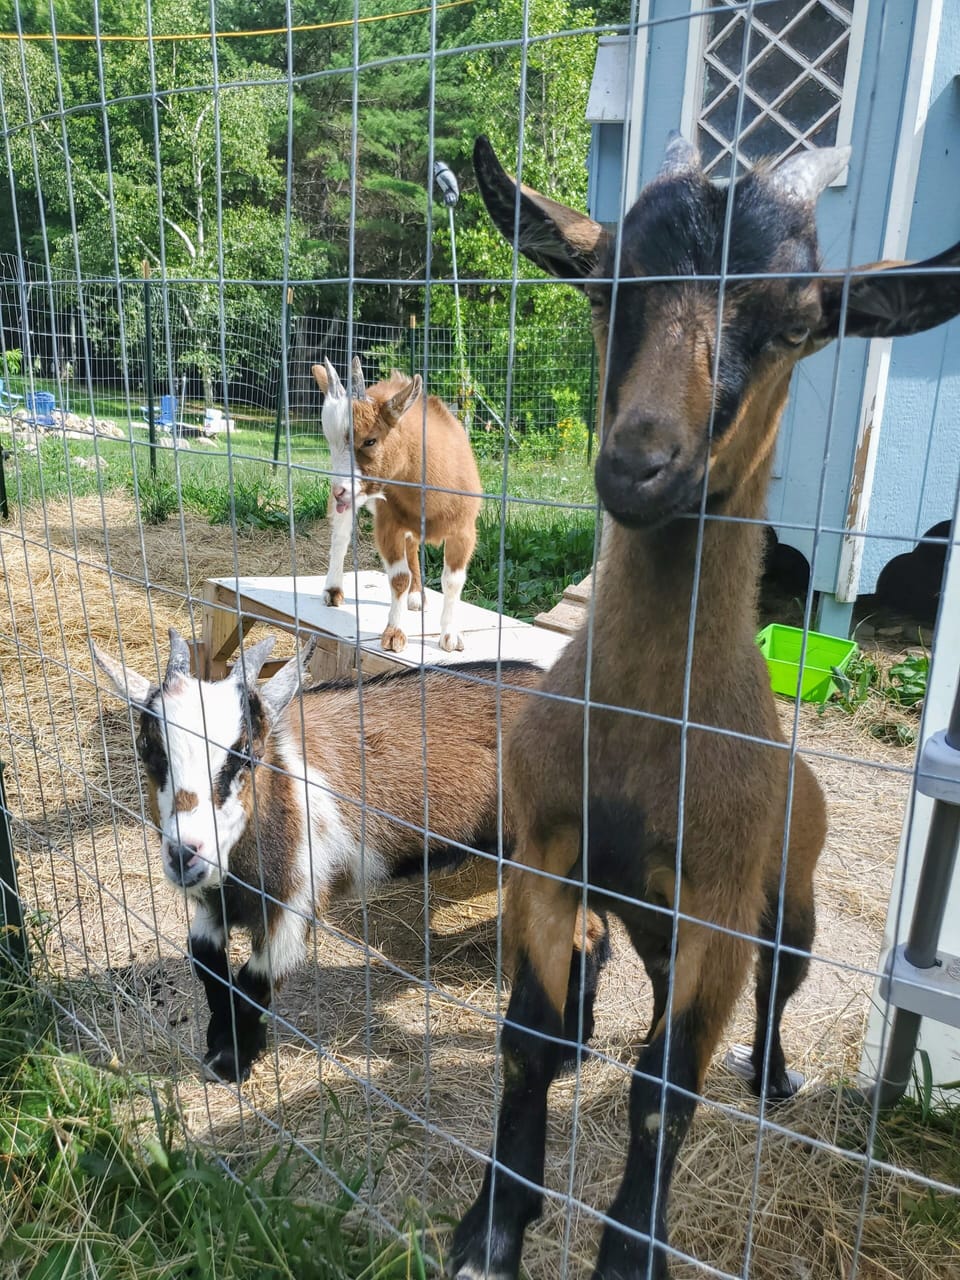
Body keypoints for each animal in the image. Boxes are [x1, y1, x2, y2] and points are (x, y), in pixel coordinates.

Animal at [93, 631, 607, 1084]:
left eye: (244, 755)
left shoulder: (296, 898)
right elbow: (205, 960)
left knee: (584, 938)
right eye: (150, 752)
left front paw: (232, 1061)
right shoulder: (214, 901)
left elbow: (256, 977)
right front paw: (220, 1044)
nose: (185, 854)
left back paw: (567, 1055)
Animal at [312, 358, 482, 655]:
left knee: (412, 544)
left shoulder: (464, 531)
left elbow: (452, 581)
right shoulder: (388, 525)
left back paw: (417, 596)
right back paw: (333, 590)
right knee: (341, 538)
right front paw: (393, 633)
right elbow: (398, 578)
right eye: (330, 442)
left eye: (370, 440)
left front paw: (450, 635)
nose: (338, 490)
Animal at [449, 135, 960, 1280]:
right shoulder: (549, 853)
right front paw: (493, 1224)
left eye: (800, 321)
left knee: (778, 991)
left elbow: (664, 1092)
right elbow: (525, 1043)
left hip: (787, 907)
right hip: (647, 921)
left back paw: (773, 1076)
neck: (646, 737)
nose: (642, 463)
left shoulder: (719, 905)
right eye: (604, 285)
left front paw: (632, 1249)